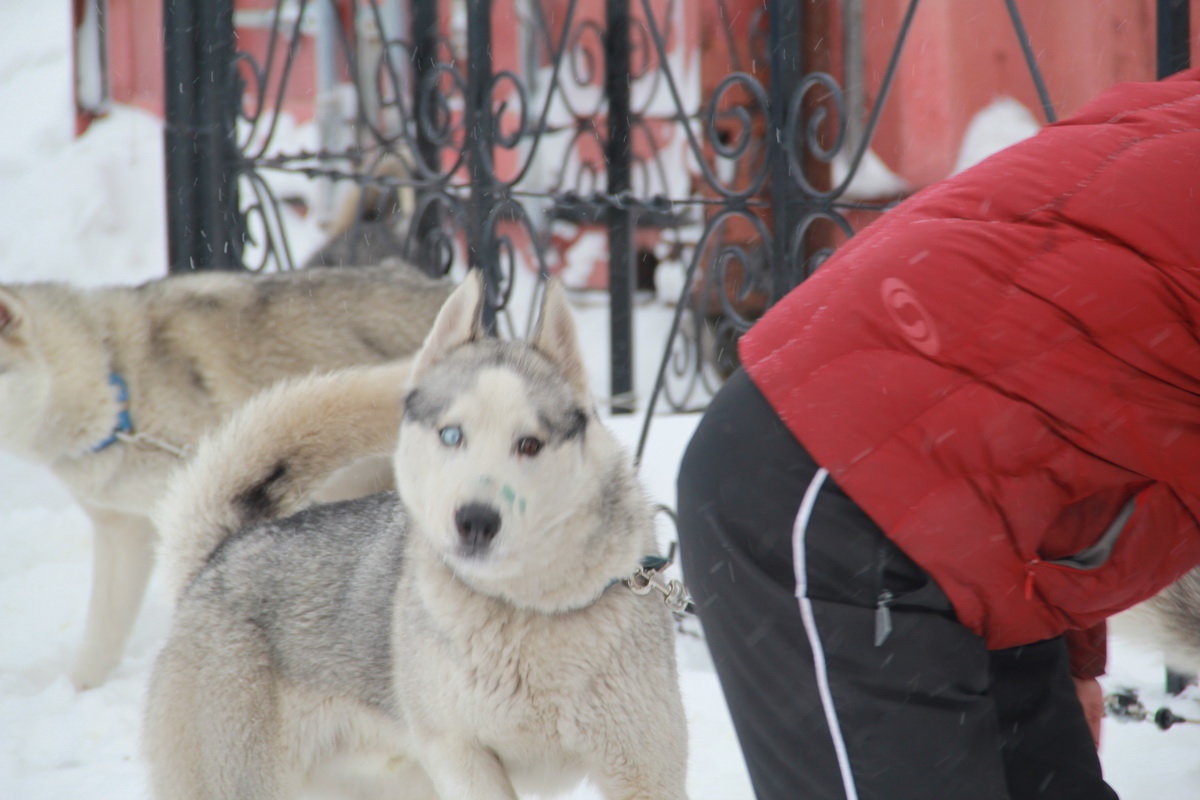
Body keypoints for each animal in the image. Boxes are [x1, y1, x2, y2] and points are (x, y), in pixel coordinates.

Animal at [142, 273, 686, 800]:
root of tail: (221, 552)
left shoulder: (644, 768)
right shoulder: (459, 754)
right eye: (452, 435)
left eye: (529, 444)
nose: (476, 519)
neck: (528, 609)